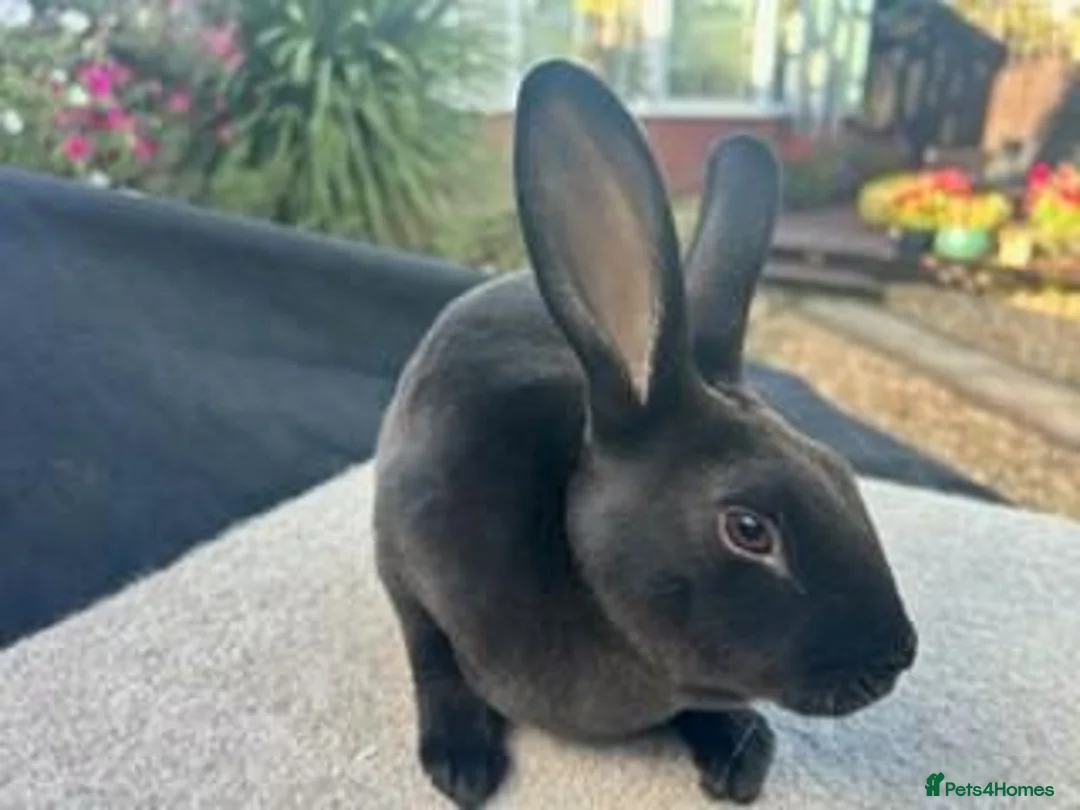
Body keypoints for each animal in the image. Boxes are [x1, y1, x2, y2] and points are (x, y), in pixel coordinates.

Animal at [373, 58, 918, 809]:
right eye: (748, 529)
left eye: (840, 472)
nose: (898, 654)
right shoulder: (406, 560)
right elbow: (429, 653)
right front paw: (461, 764)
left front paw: (740, 753)